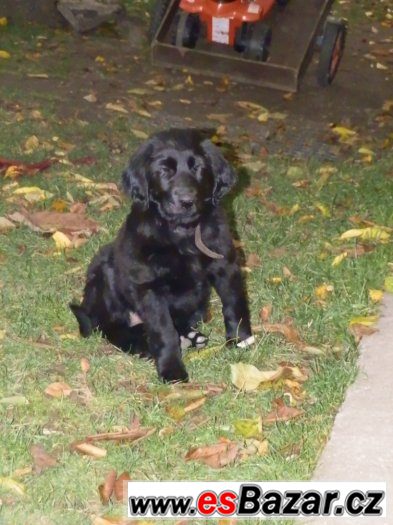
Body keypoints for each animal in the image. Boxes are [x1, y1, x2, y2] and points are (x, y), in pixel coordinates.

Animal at [70, 128, 253, 378]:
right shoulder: (149, 286)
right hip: (104, 270)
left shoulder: (225, 265)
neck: (181, 233)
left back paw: (190, 337)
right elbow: (163, 330)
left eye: (198, 167)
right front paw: (172, 370)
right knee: (112, 329)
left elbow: (235, 304)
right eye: (164, 170)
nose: (186, 201)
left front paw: (241, 341)